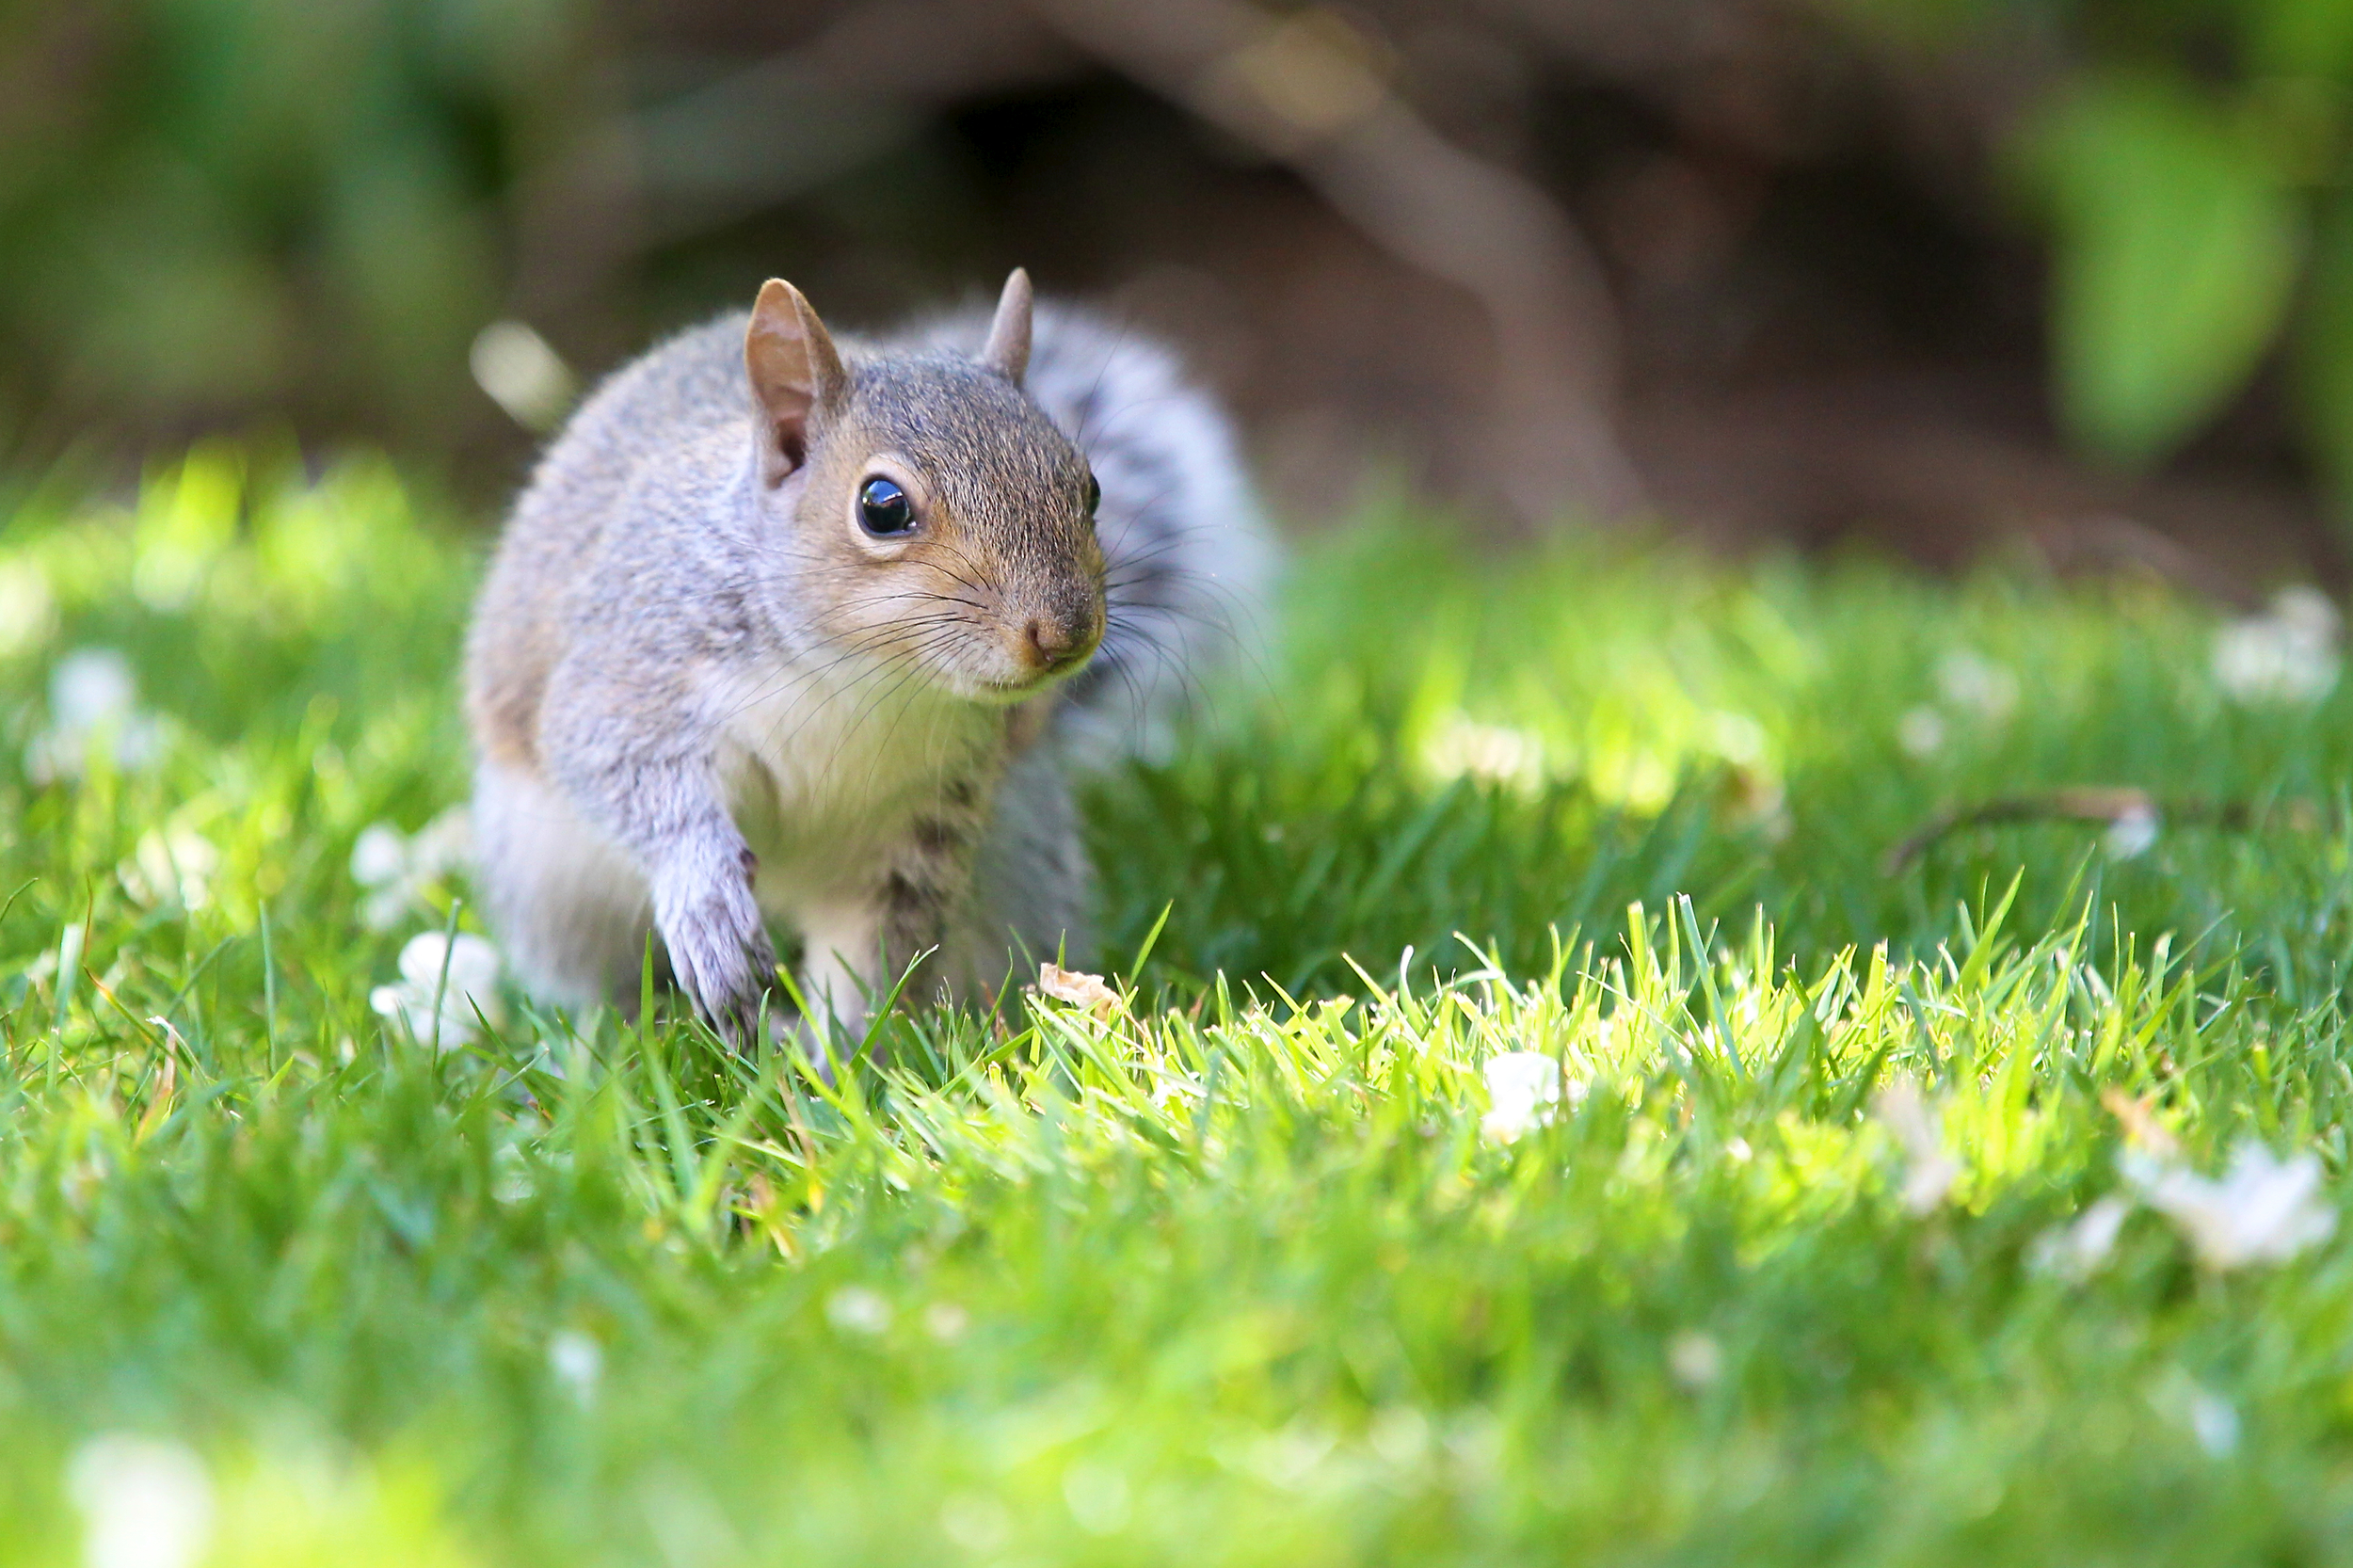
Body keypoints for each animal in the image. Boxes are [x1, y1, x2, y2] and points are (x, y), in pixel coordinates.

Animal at [463, 271, 1271, 1049]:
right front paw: (705, 899)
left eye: (1091, 488)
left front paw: (841, 1058)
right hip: (550, 880)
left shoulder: (914, 824)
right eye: (882, 506)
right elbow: (622, 773)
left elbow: (871, 953)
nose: (1065, 634)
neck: (859, 676)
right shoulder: (636, 669)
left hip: (1020, 856)